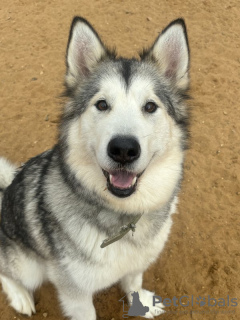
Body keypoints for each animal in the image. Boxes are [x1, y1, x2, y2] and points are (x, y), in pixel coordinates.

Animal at [0, 16, 191, 318]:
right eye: (101, 104)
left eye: (150, 106)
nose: (123, 149)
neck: (123, 216)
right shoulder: (75, 293)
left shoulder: (138, 262)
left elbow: (134, 282)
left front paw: (142, 303)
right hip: (27, 265)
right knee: (6, 273)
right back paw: (20, 296)